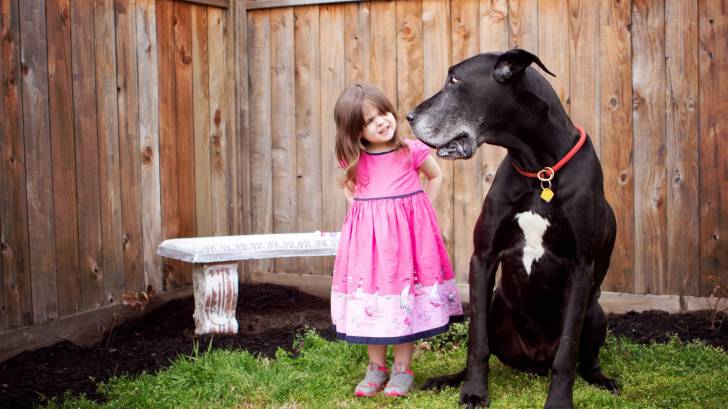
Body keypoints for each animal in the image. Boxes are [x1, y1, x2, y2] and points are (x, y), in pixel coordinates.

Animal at [406, 48, 616, 408]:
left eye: (454, 80)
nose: (408, 116)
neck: (540, 169)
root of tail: (534, 362)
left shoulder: (580, 267)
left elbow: (567, 352)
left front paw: (559, 401)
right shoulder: (483, 256)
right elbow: (477, 343)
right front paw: (474, 392)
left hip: (595, 312)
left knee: (585, 359)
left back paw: (601, 378)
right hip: (495, 305)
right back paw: (448, 380)